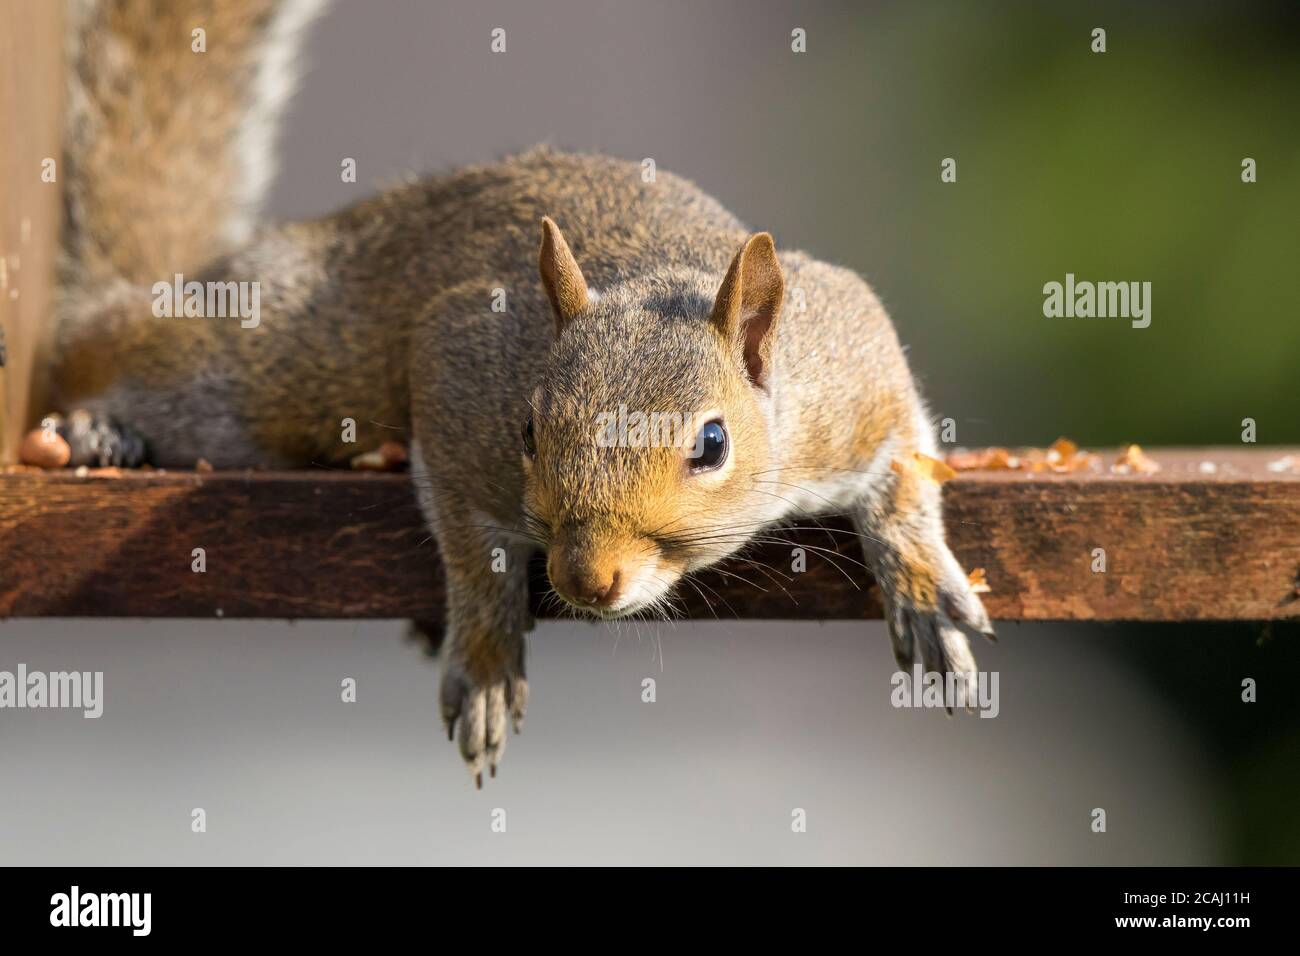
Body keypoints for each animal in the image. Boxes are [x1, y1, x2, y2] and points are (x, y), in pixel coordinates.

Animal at [45, 0, 987, 785]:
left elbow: (903, 465)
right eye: (528, 431)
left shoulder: (851, 375)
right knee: (103, 343)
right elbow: (470, 545)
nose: (586, 578)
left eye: (712, 444)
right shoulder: (458, 374)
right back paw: (89, 430)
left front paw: (921, 586)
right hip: (253, 365)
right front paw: (488, 655)